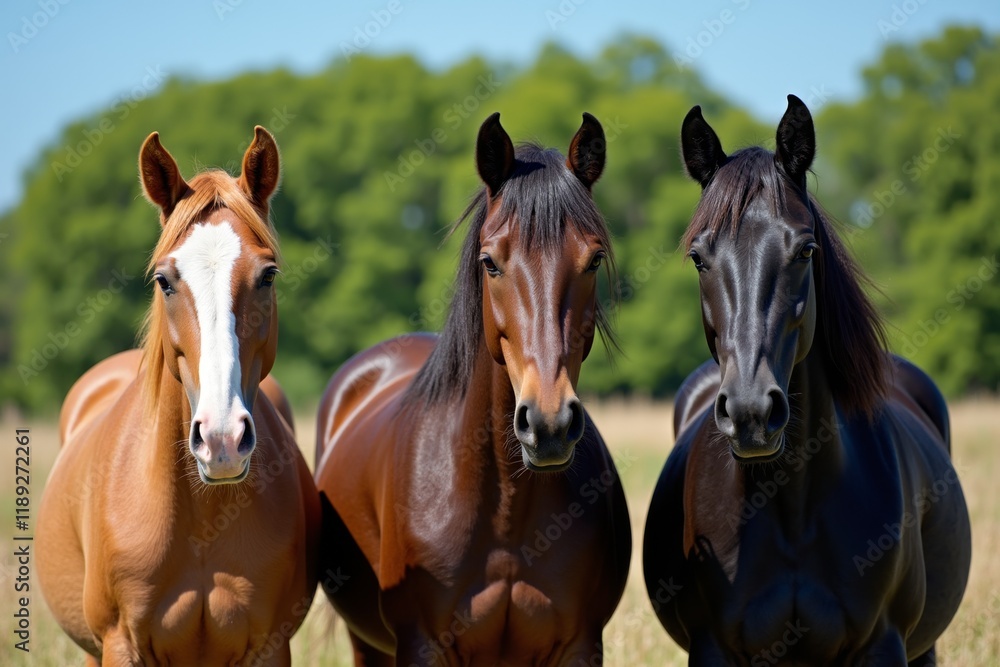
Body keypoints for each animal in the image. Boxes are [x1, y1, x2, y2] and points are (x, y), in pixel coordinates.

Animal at [37, 127, 322, 666]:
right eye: (164, 280)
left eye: (268, 275)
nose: (222, 439)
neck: (202, 517)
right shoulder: (120, 644)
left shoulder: (271, 646)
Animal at [314, 113, 632, 665]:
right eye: (490, 262)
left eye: (593, 261)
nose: (548, 424)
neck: (505, 515)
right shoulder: (420, 646)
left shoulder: (580, 645)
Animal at [642, 95, 971, 665]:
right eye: (699, 258)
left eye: (805, 250)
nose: (751, 413)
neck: (794, 506)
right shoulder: (712, 649)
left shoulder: (883, 645)